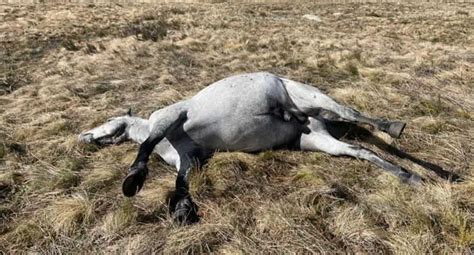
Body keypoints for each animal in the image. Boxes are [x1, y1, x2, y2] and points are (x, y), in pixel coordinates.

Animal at [79, 71, 420, 223]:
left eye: (108, 119)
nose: (83, 136)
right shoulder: (189, 160)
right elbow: (181, 183)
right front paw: (183, 209)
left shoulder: (171, 117)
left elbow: (146, 147)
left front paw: (133, 179)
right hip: (318, 141)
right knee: (361, 151)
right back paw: (408, 175)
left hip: (314, 98)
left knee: (352, 113)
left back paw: (394, 127)